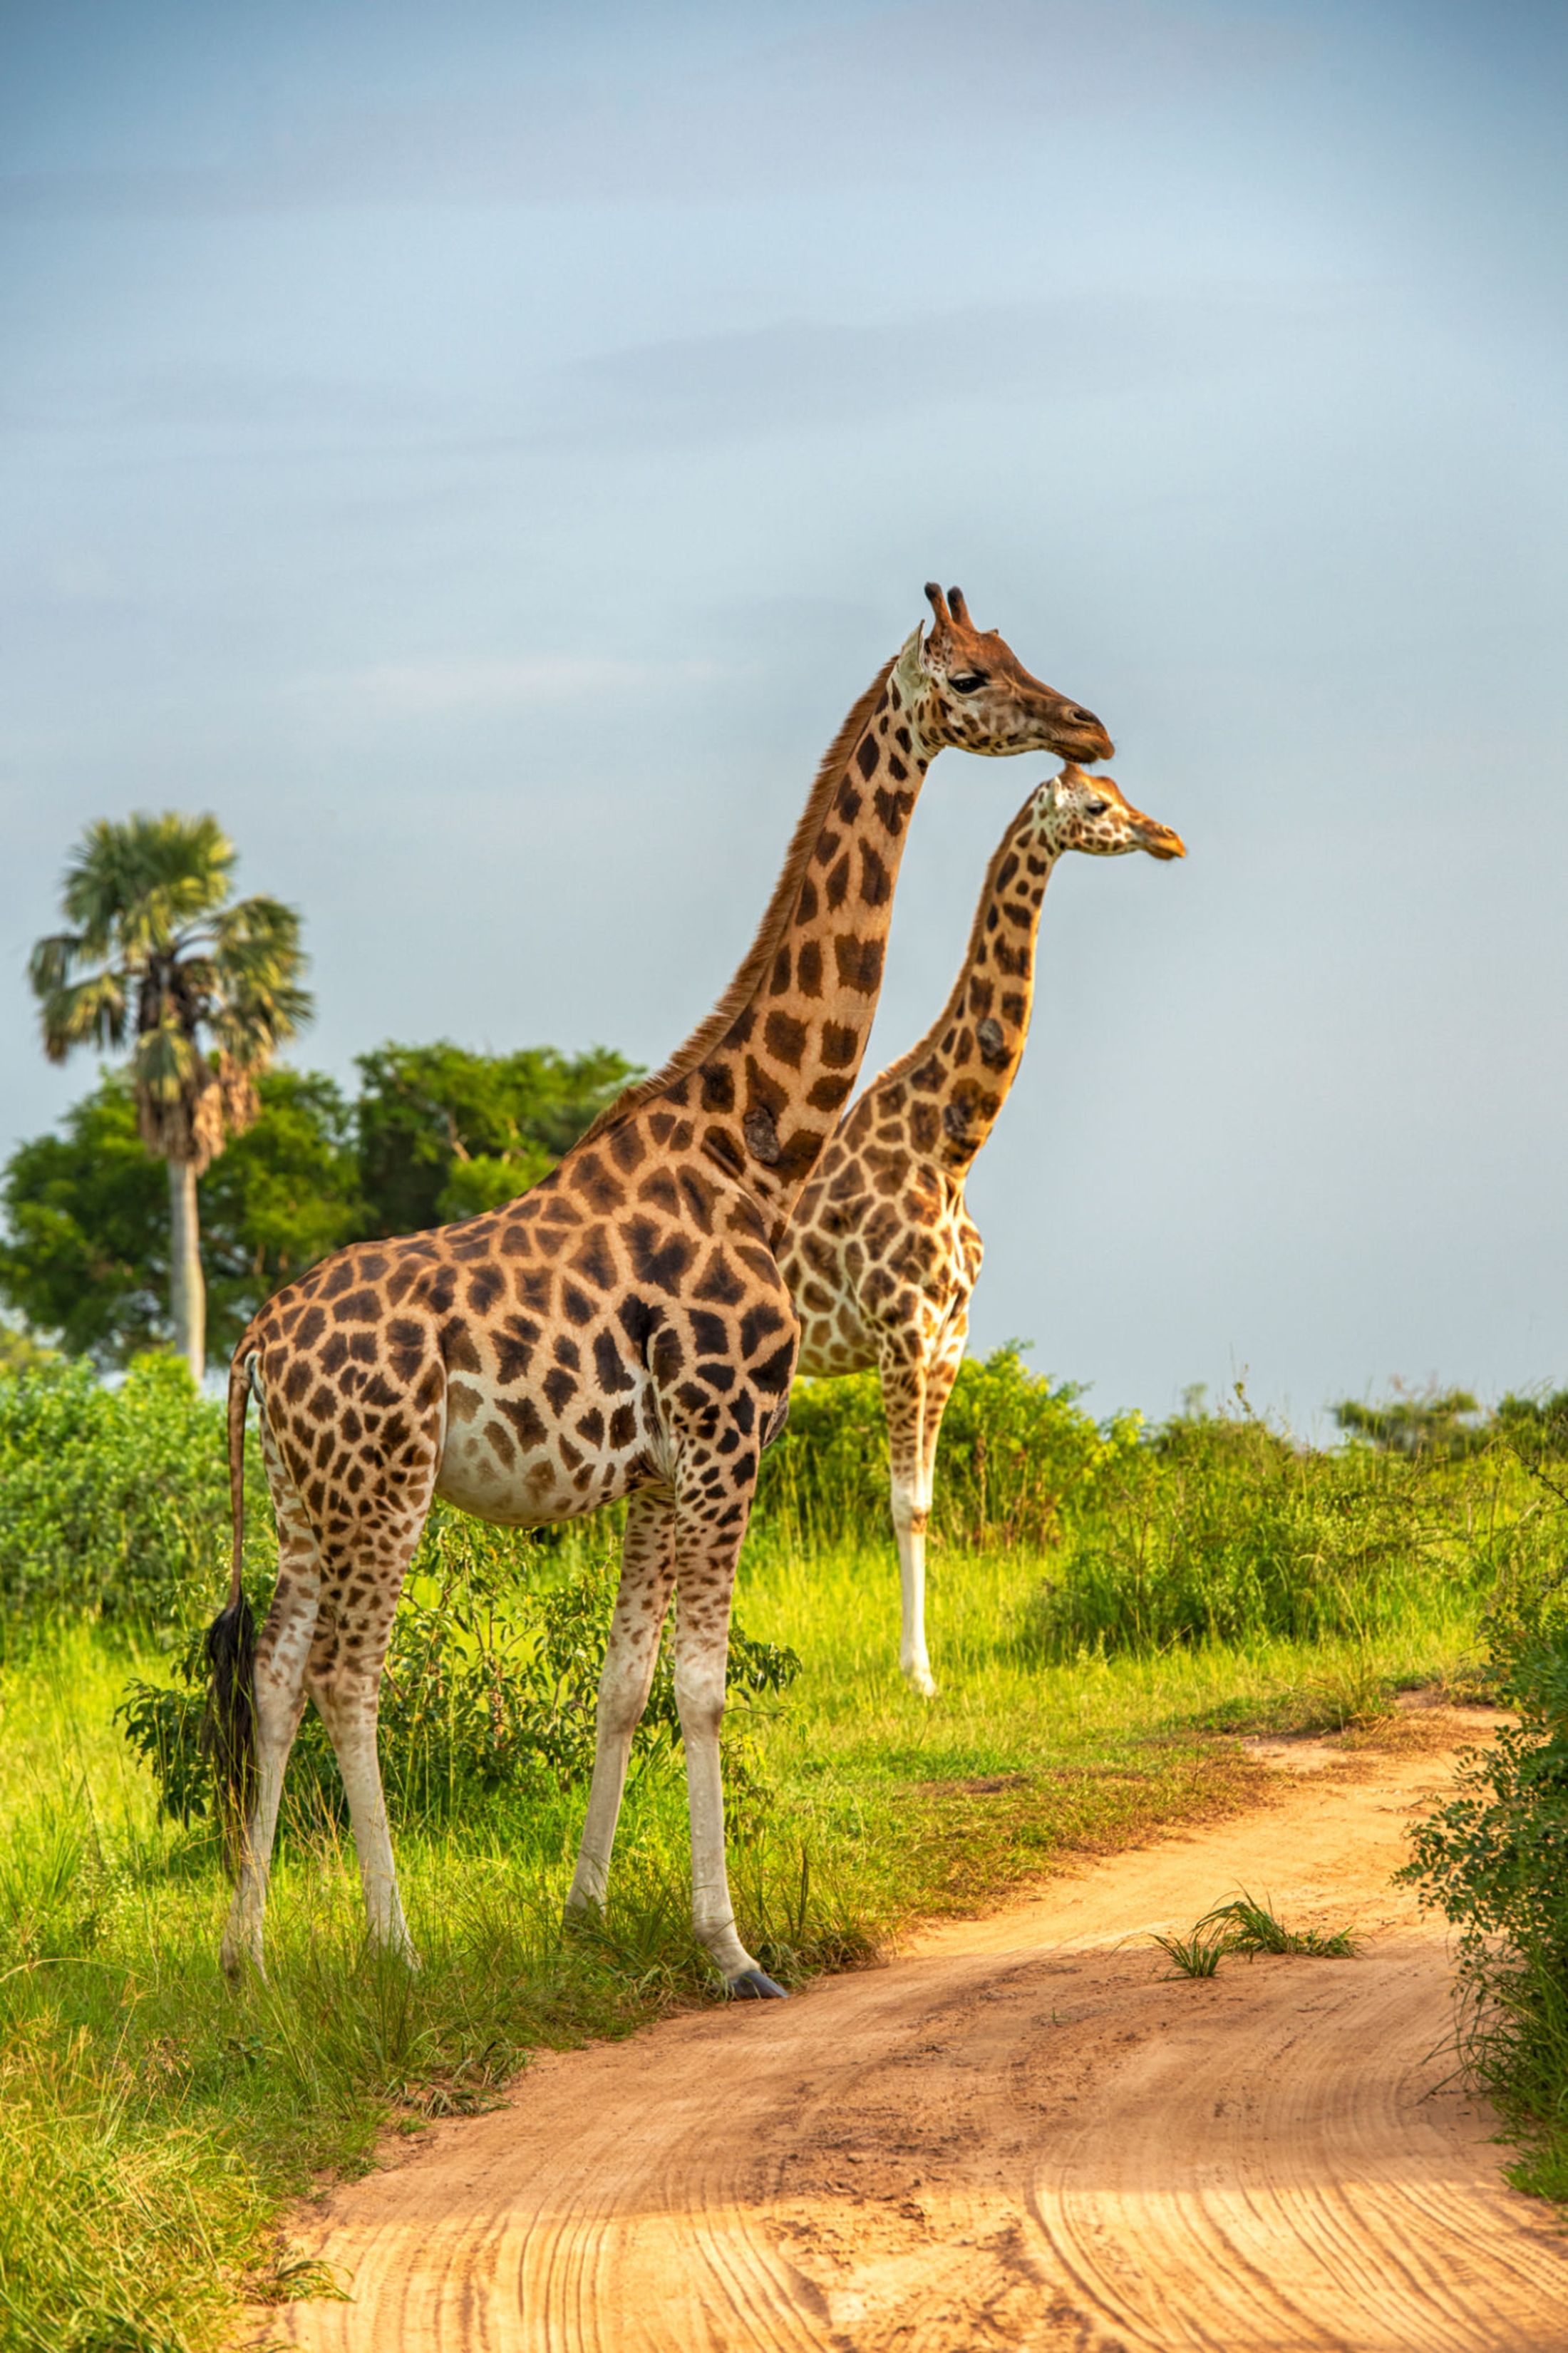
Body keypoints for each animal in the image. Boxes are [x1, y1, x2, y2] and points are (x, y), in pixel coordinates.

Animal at [205, 585, 1113, 1997]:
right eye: (969, 679)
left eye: (1017, 652)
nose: (1091, 726)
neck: (755, 1143)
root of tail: (254, 1341)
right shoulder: (732, 1436)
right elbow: (705, 1687)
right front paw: (730, 1947)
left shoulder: (652, 1469)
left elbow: (624, 1683)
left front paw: (583, 1912)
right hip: (386, 1486)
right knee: (354, 1678)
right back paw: (395, 1945)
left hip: (308, 1497)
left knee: (280, 1671)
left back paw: (246, 1952)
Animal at [779, 764, 1185, 1696]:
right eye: (1098, 806)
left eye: (1122, 790)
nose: (1167, 838)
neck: (949, 1147)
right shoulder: (901, 1328)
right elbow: (903, 1502)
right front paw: (918, 1673)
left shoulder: (950, 1336)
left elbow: (928, 1500)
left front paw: (920, 1666)